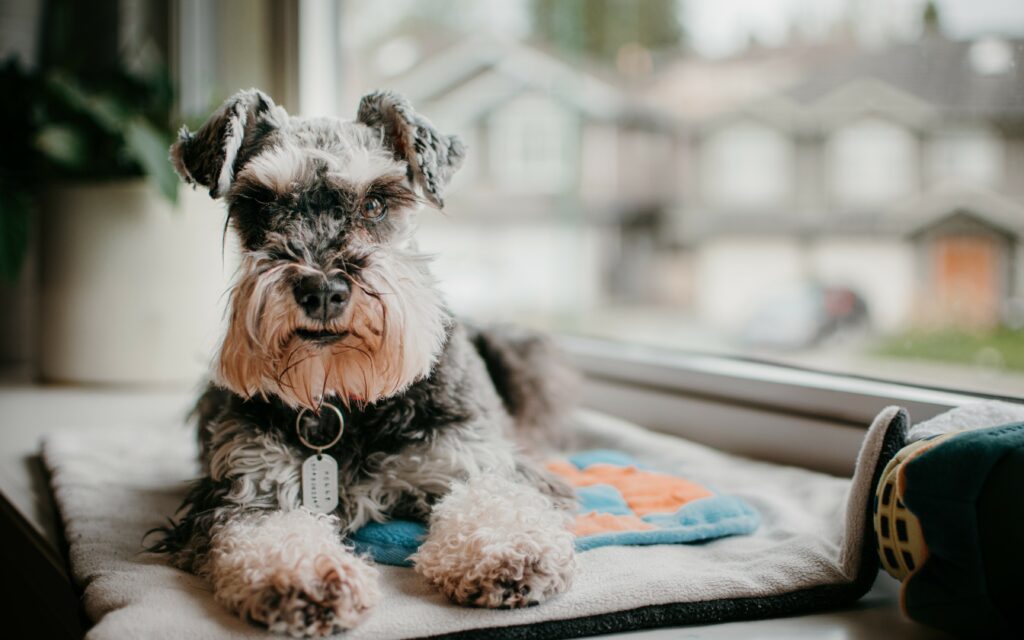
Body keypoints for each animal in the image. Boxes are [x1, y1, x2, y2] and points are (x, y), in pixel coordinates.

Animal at [154, 88, 581, 634]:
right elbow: (266, 531)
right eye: (261, 202)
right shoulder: (248, 488)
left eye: (376, 202)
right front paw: (307, 576)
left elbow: (494, 499)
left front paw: (508, 552)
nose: (322, 291)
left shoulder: (473, 458)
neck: (346, 396)